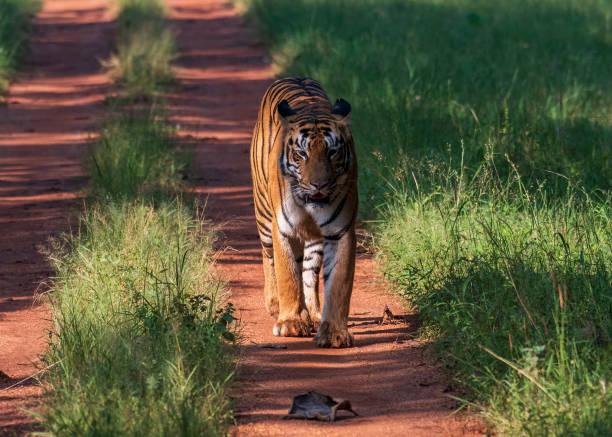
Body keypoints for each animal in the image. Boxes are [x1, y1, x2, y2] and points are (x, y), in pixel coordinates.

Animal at [250, 76, 358, 348]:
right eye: (301, 154)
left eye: (332, 152)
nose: (318, 184)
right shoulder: (283, 230)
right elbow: (287, 275)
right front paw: (290, 323)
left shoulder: (340, 231)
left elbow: (338, 283)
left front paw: (334, 333)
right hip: (264, 217)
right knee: (268, 257)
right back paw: (275, 305)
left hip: (314, 241)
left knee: (309, 271)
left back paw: (314, 313)